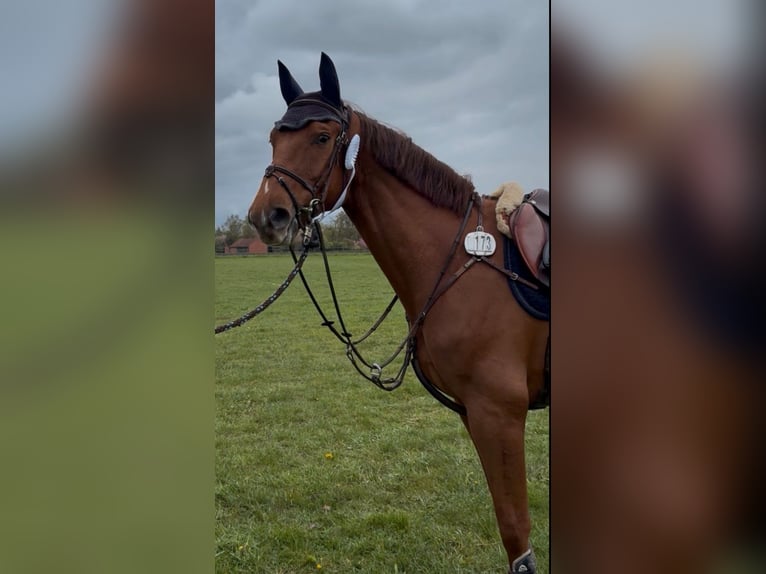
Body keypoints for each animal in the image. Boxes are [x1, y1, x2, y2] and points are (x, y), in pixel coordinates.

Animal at [247, 53, 549, 573]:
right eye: (273, 137)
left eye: (321, 137)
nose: (268, 217)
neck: (460, 257)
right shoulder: (475, 414)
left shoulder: (499, 414)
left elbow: (517, 537)